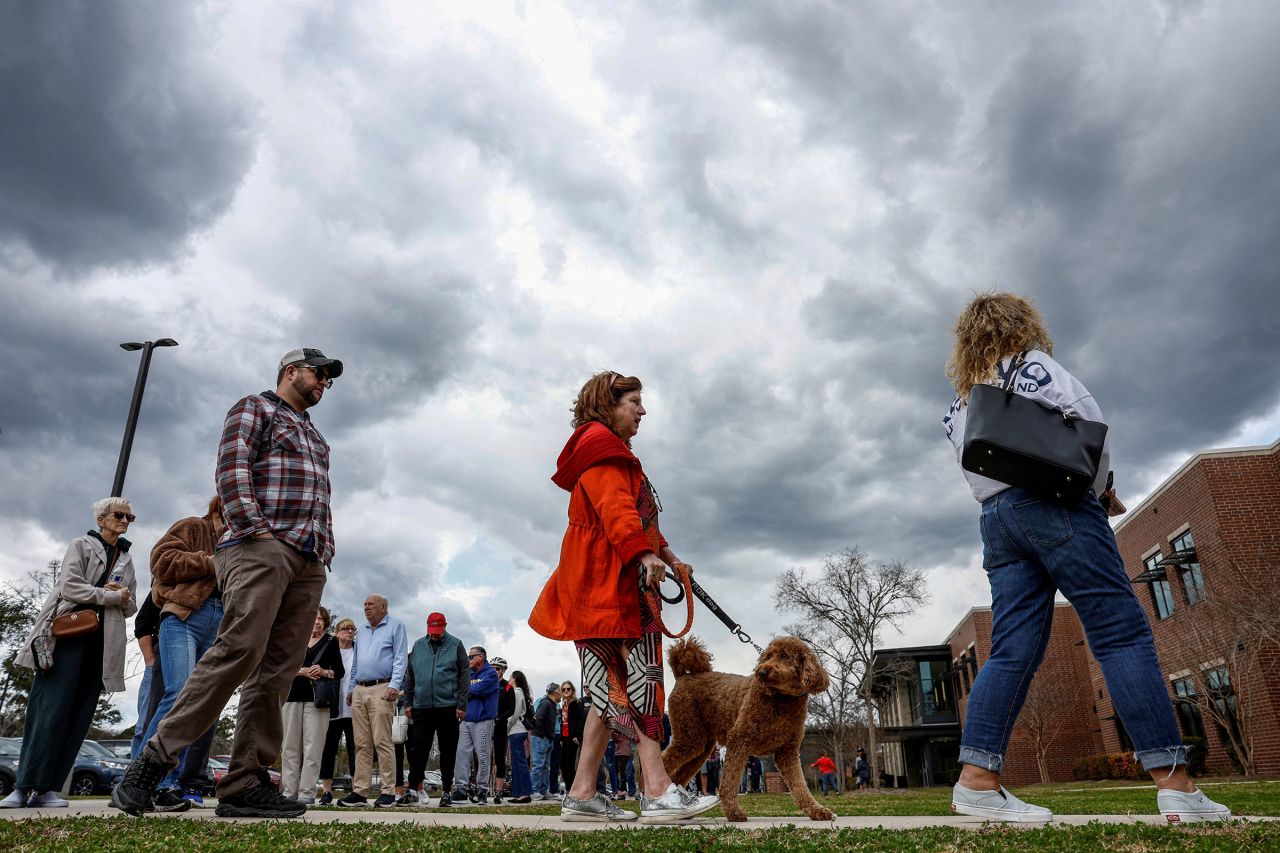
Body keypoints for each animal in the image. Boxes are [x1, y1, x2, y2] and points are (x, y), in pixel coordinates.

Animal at [665, 635, 834, 819]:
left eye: (784, 656)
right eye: (768, 656)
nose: (761, 672)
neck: (782, 699)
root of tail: (682, 677)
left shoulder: (787, 753)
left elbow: (800, 786)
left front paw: (817, 811)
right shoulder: (739, 740)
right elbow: (730, 782)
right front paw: (734, 812)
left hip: (701, 747)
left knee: (678, 774)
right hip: (689, 735)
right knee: (664, 760)